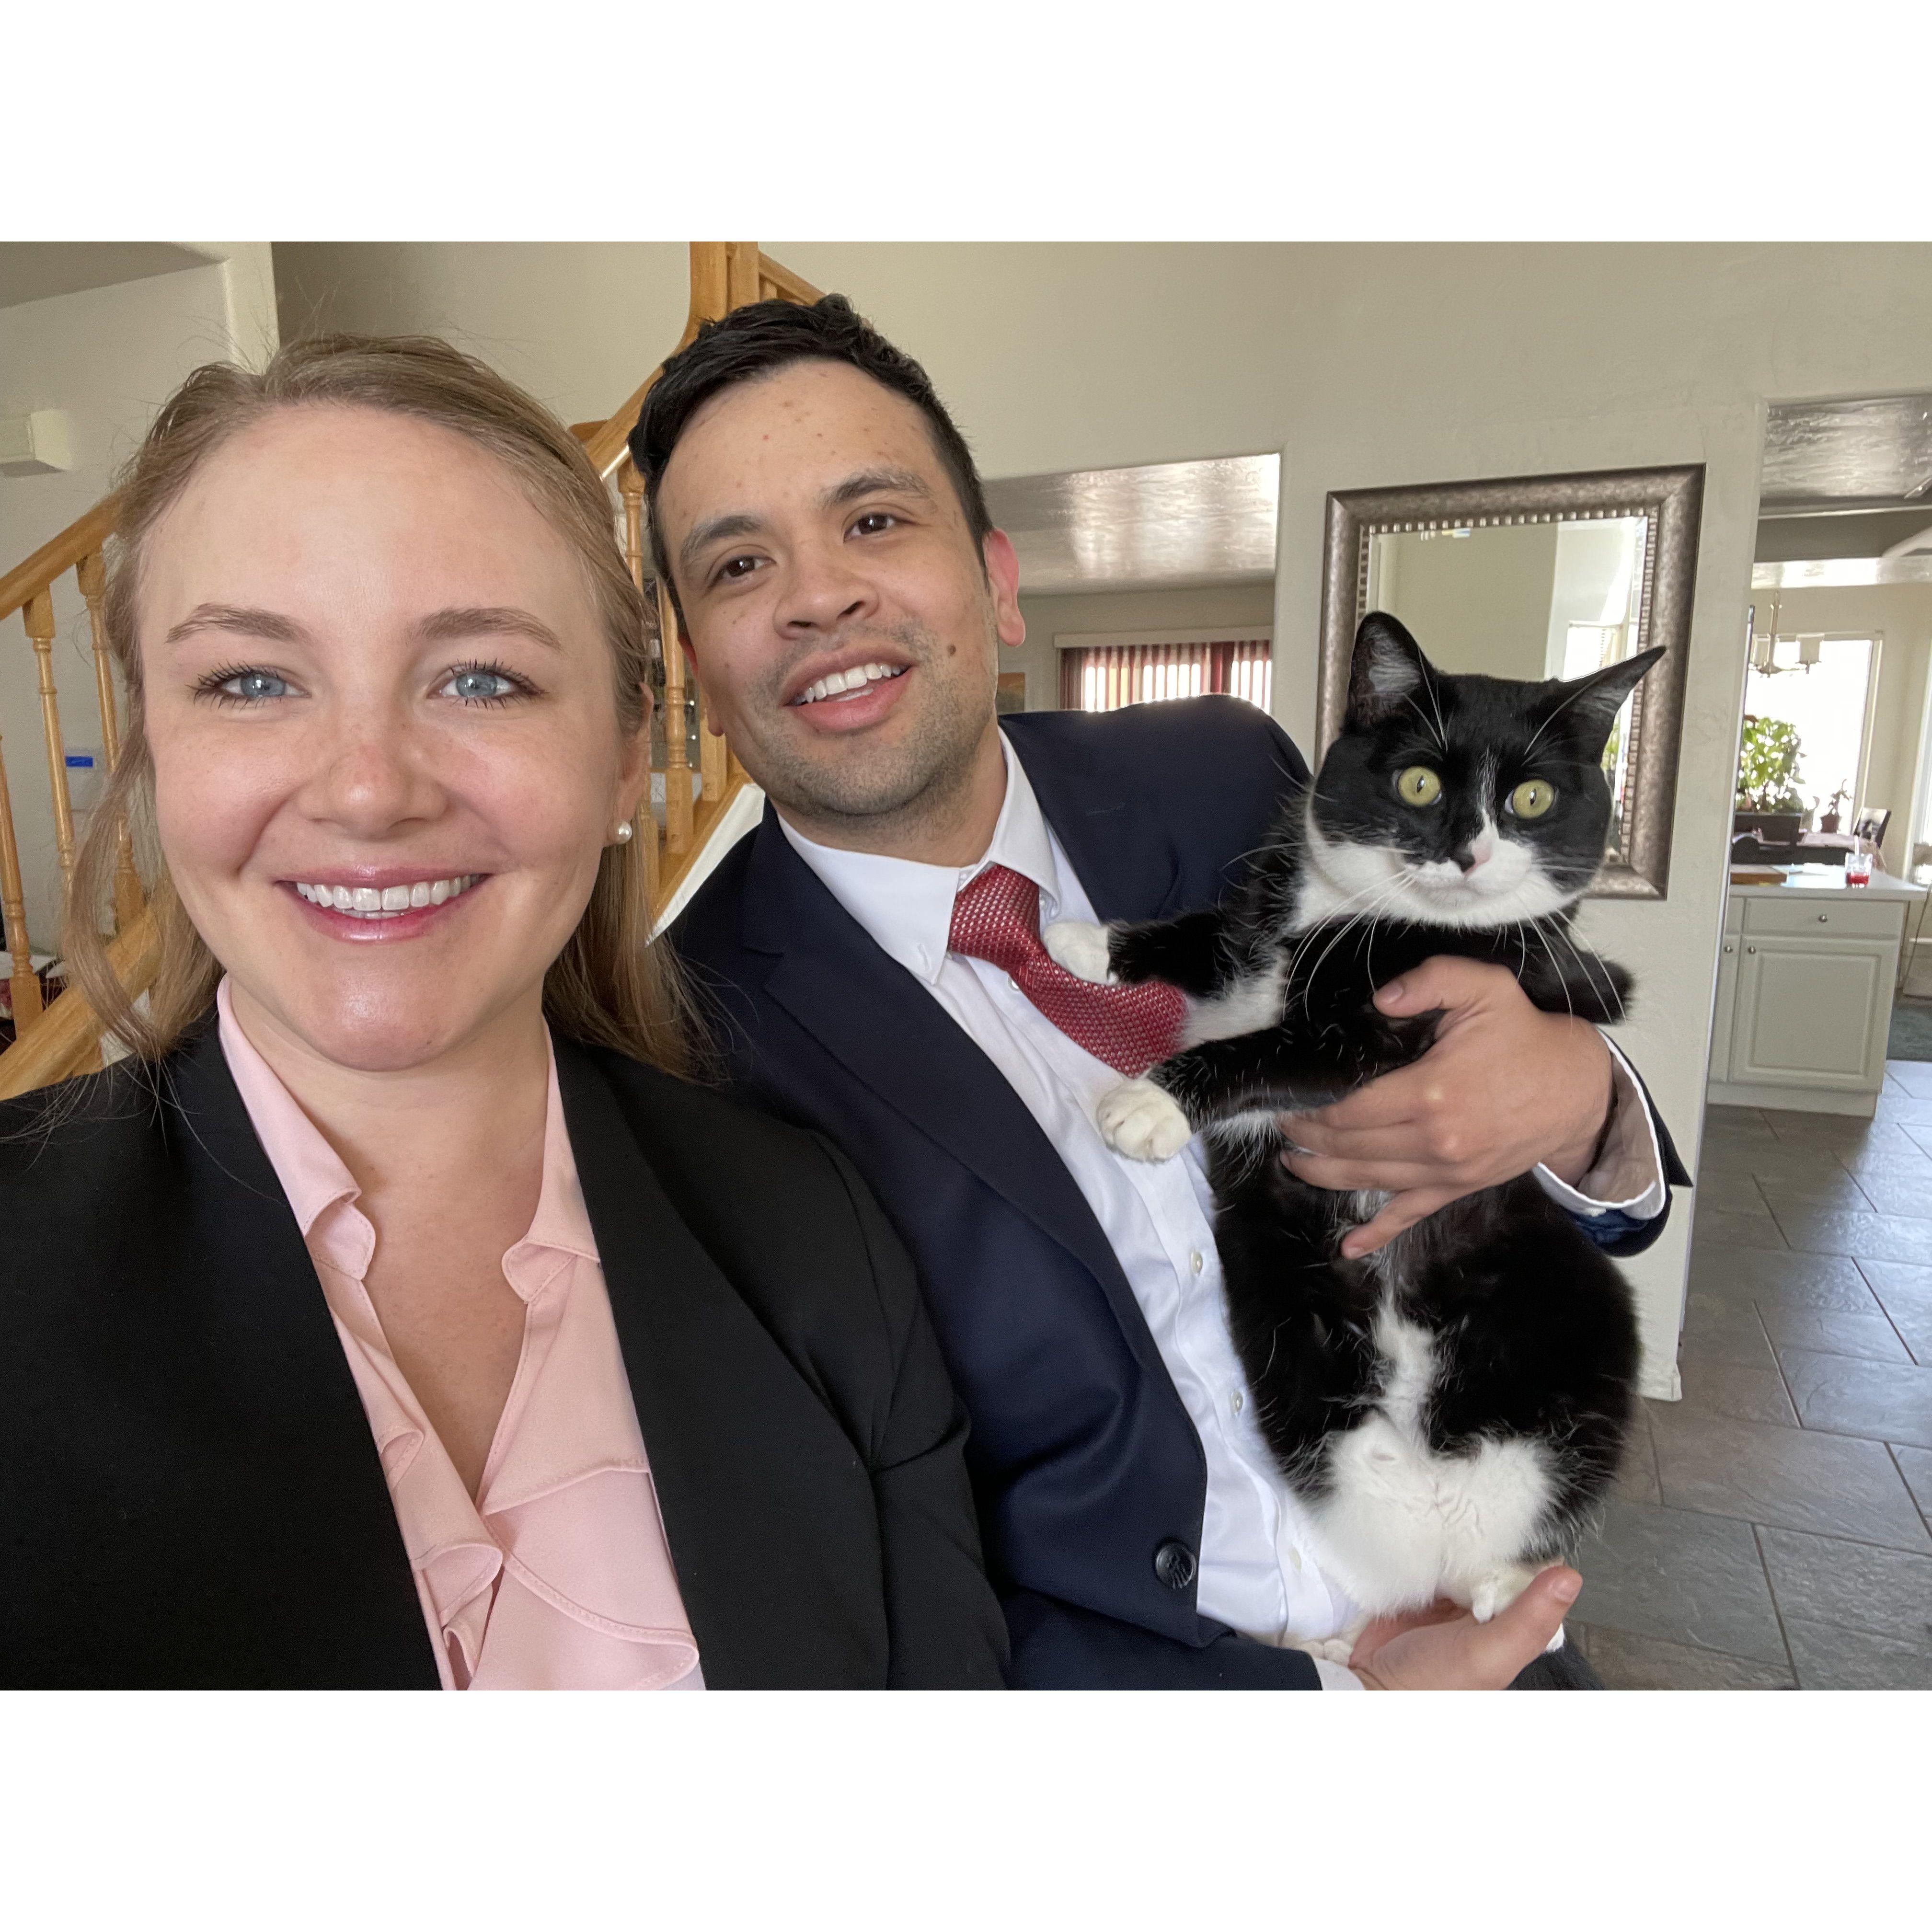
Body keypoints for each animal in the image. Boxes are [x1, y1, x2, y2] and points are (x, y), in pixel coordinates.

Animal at [1043, 611, 1664, 1659]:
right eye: (1417, 782)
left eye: (1533, 798)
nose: (1468, 852)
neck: (1364, 916)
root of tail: (1441, 1519)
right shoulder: (1262, 919)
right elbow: (1209, 935)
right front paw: (1084, 941)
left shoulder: (1430, 1019)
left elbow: (1281, 1046)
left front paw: (1152, 1102)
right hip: (1295, 1341)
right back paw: (1348, 1637)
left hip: (1589, 1318)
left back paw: (1512, 1591)